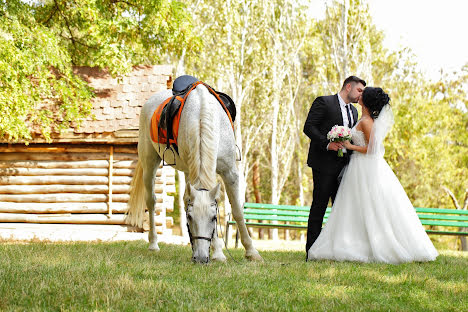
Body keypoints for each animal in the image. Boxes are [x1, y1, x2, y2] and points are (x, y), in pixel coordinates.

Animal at [126, 83, 262, 264]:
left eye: (213, 218)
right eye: (189, 218)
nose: (200, 257)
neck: (203, 116)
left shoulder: (230, 172)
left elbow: (237, 210)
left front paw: (251, 252)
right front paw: (218, 252)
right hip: (150, 163)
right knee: (152, 201)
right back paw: (153, 244)